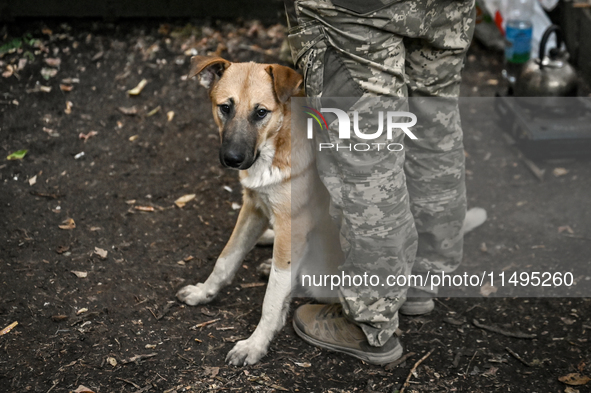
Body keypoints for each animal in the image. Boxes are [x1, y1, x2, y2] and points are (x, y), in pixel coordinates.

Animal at [177, 56, 342, 366]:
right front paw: (204, 292)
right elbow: (225, 259)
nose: (233, 159)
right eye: (225, 107)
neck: (271, 152)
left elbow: (273, 296)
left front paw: (255, 344)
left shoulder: (292, 225)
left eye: (261, 112)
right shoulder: (252, 206)